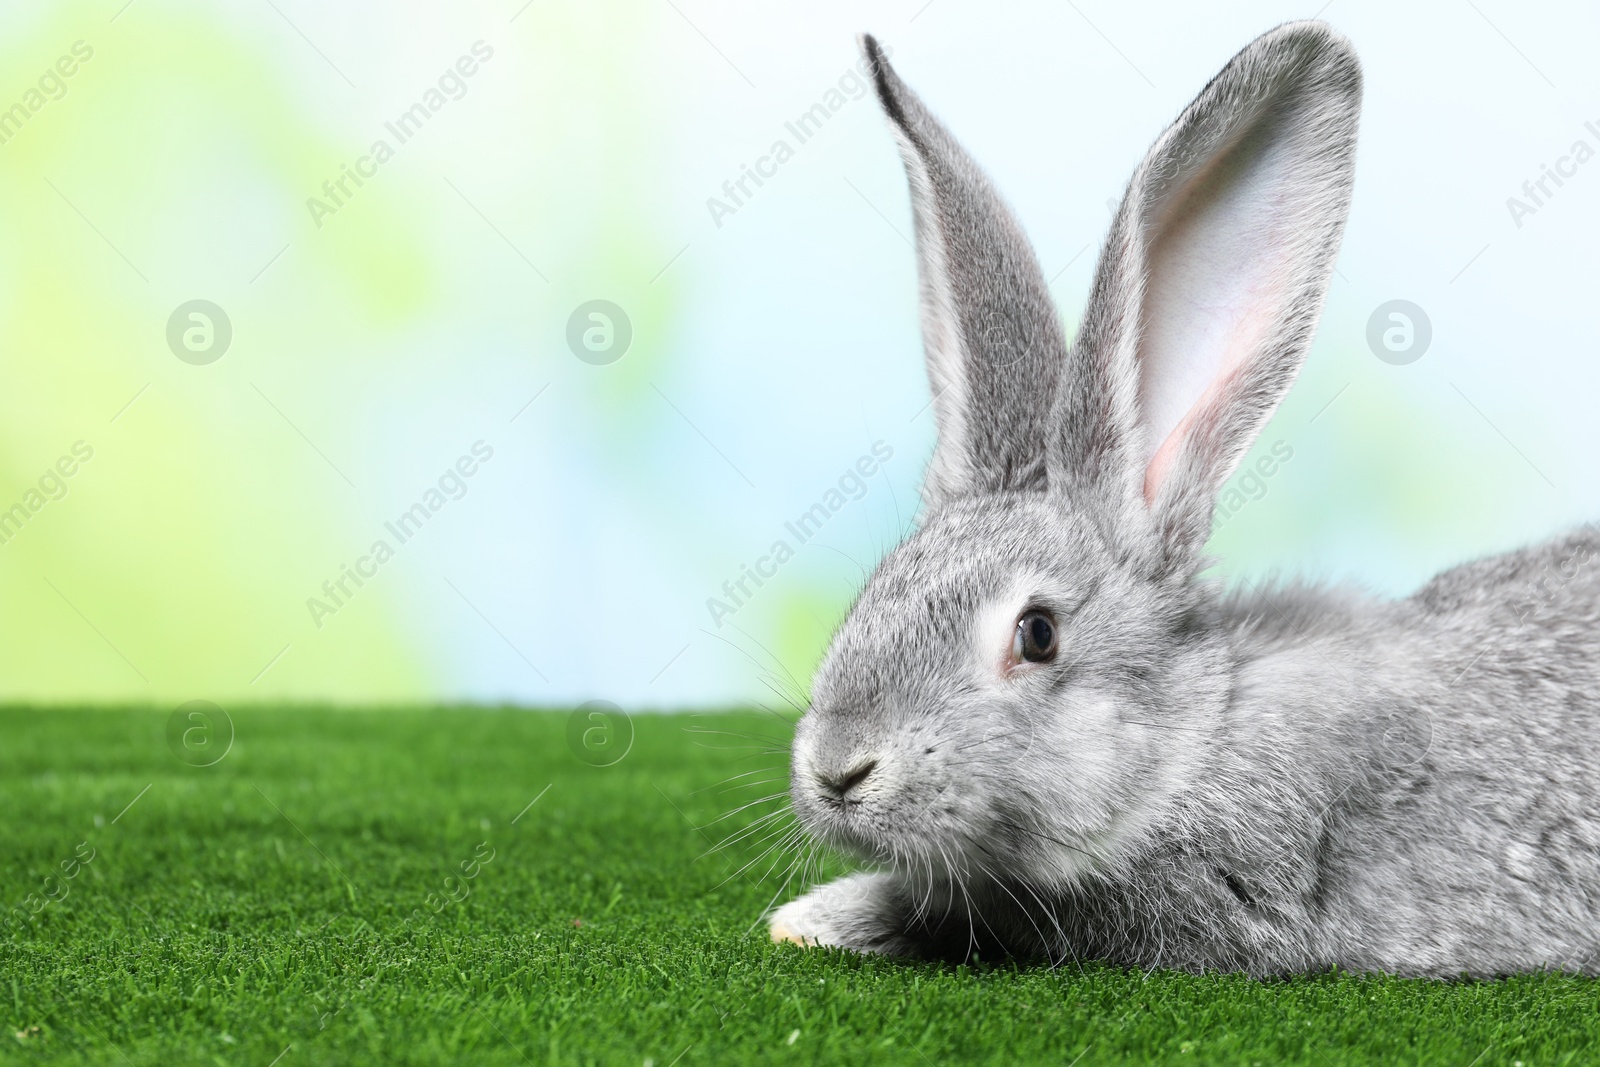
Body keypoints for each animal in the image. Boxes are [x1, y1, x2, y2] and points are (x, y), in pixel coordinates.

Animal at [764, 22, 1600, 979]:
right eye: (874, 591)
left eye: (1038, 633)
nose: (838, 769)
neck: (1192, 738)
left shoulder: (1216, 890)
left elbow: (979, 914)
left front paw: (823, 913)